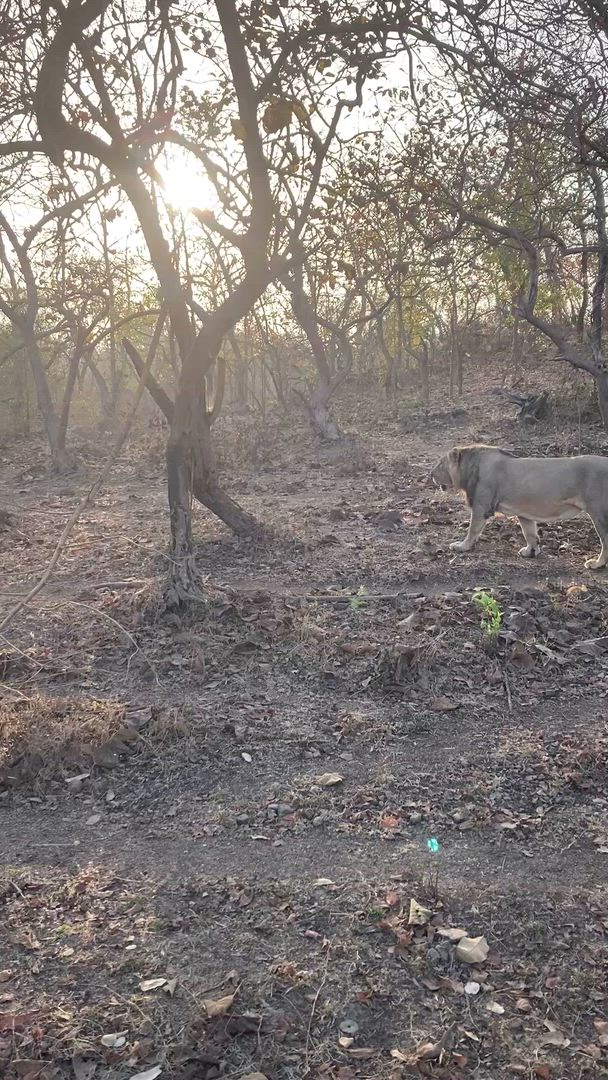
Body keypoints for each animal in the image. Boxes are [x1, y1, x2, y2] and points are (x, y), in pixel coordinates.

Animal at [430, 444, 608, 569]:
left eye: (440, 464)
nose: (430, 474)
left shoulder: (481, 506)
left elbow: (472, 530)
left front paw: (462, 547)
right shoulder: (524, 513)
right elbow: (529, 533)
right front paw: (531, 552)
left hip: (598, 512)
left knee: (605, 541)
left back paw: (596, 564)